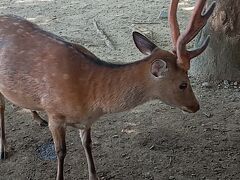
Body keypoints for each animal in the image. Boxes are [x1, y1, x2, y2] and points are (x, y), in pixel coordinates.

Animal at [0, 0, 216, 179]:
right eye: (183, 84)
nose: (196, 106)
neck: (90, 98)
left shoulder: (86, 121)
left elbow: (88, 144)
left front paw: (93, 175)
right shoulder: (55, 114)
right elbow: (60, 152)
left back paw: (37, 118)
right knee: (2, 108)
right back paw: (4, 149)